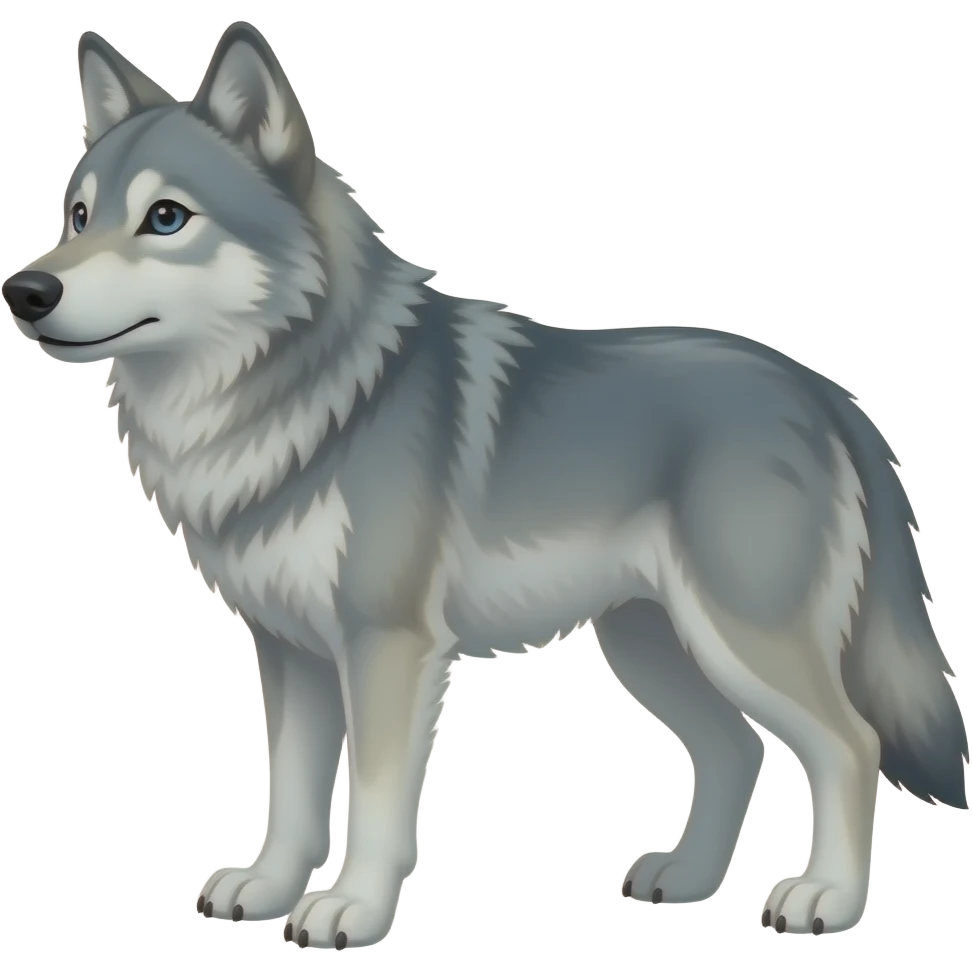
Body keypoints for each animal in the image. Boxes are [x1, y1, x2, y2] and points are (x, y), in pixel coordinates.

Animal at [2, 21, 966, 950]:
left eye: (165, 217)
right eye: (78, 213)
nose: (26, 289)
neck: (303, 399)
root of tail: (823, 391)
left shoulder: (387, 646)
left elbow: (377, 803)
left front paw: (351, 910)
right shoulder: (291, 653)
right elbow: (292, 799)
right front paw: (270, 891)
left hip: (738, 640)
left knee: (851, 745)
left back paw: (826, 900)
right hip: (652, 647)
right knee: (738, 750)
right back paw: (687, 880)